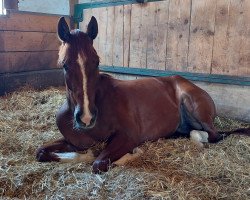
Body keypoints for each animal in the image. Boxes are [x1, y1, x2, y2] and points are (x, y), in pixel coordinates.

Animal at [35, 16, 250, 173]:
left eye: (96, 61)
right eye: (65, 64)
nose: (86, 118)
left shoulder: (128, 137)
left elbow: (99, 163)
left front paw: (131, 154)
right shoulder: (72, 142)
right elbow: (40, 152)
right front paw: (84, 155)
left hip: (194, 106)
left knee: (213, 135)